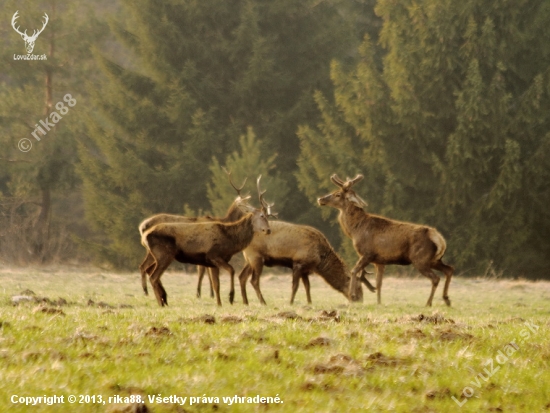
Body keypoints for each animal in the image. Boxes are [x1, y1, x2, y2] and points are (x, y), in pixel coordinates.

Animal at [316, 174, 454, 306]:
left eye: (337, 194)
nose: (321, 199)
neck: (355, 230)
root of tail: (438, 238)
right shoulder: (379, 260)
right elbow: (379, 283)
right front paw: (379, 302)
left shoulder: (368, 253)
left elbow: (354, 271)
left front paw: (352, 296)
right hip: (433, 260)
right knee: (449, 269)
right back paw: (446, 299)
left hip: (420, 259)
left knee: (435, 278)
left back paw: (429, 303)